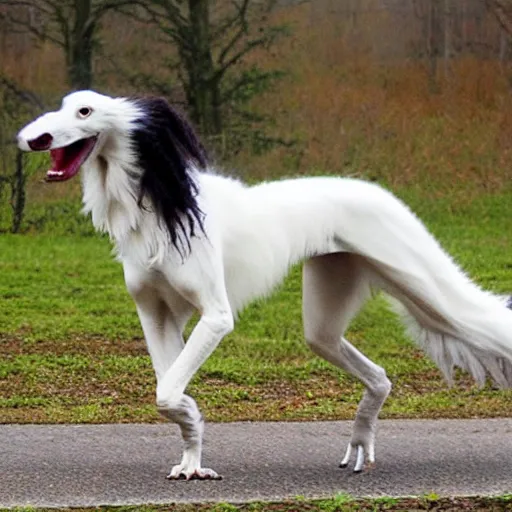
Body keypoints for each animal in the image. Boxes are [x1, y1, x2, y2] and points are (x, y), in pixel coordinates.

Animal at [17, 91, 512, 480]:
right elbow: (168, 392)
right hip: (326, 316)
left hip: (423, 277)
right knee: (378, 376)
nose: (31, 138)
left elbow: (169, 391)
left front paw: (192, 427)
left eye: (84, 111)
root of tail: (377, 191)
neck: (162, 207)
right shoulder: (155, 312)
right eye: (62, 104)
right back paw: (360, 438)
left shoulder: (215, 316)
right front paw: (192, 452)